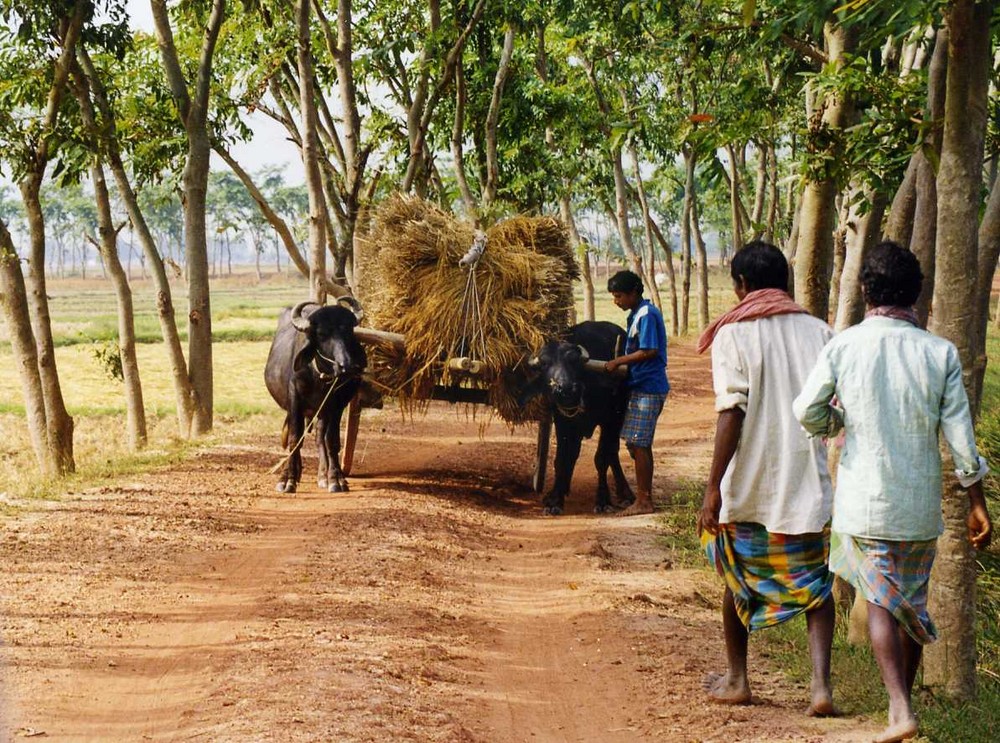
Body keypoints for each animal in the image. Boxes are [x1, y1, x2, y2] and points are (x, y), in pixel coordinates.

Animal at [264, 296, 366, 494]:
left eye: (348, 330)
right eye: (321, 334)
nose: (347, 366)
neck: (318, 375)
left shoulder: (337, 405)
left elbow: (331, 440)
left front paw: (336, 479)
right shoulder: (294, 400)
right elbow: (294, 439)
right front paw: (287, 479)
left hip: (321, 411)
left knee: (320, 437)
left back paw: (323, 476)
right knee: (298, 438)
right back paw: (296, 472)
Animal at [524, 322, 632, 516]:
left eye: (573, 361)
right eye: (544, 364)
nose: (565, 388)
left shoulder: (611, 420)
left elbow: (602, 458)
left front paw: (603, 501)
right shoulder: (563, 423)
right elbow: (562, 459)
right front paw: (555, 500)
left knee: (612, 453)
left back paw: (625, 494)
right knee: (575, 454)